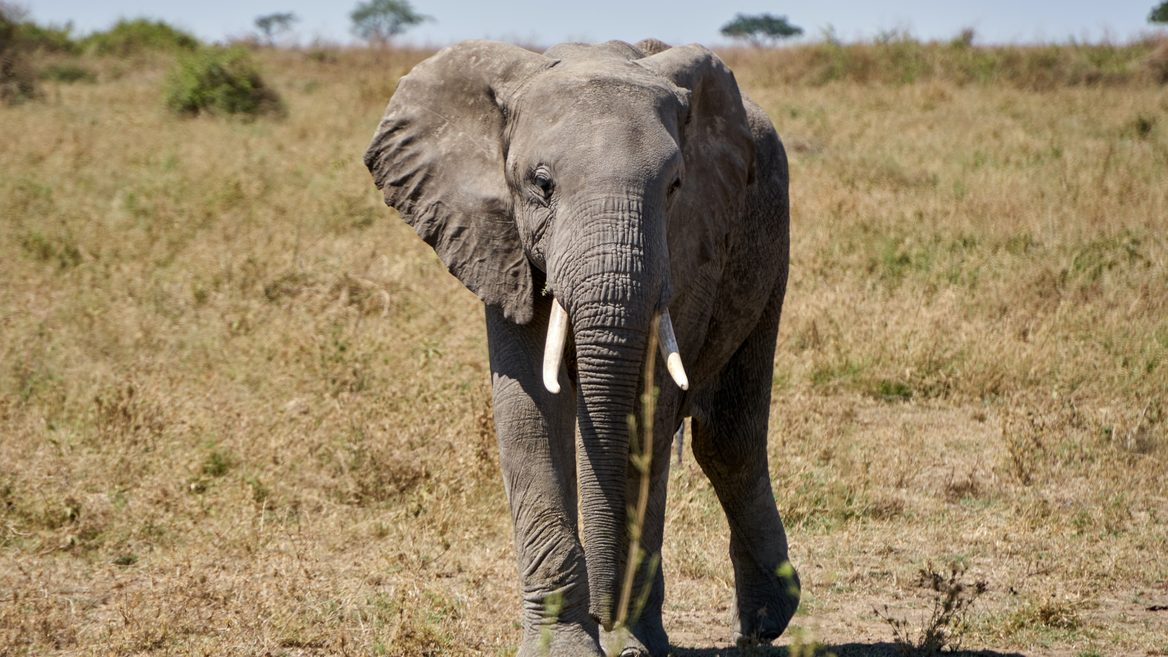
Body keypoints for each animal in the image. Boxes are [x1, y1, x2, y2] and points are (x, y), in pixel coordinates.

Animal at [362, 38, 803, 649]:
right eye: (542, 184)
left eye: (675, 186)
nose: (605, 615)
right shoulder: (500, 242)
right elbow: (529, 411)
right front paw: (565, 647)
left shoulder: (689, 245)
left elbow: (648, 410)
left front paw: (635, 645)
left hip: (771, 234)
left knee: (729, 439)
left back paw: (763, 623)